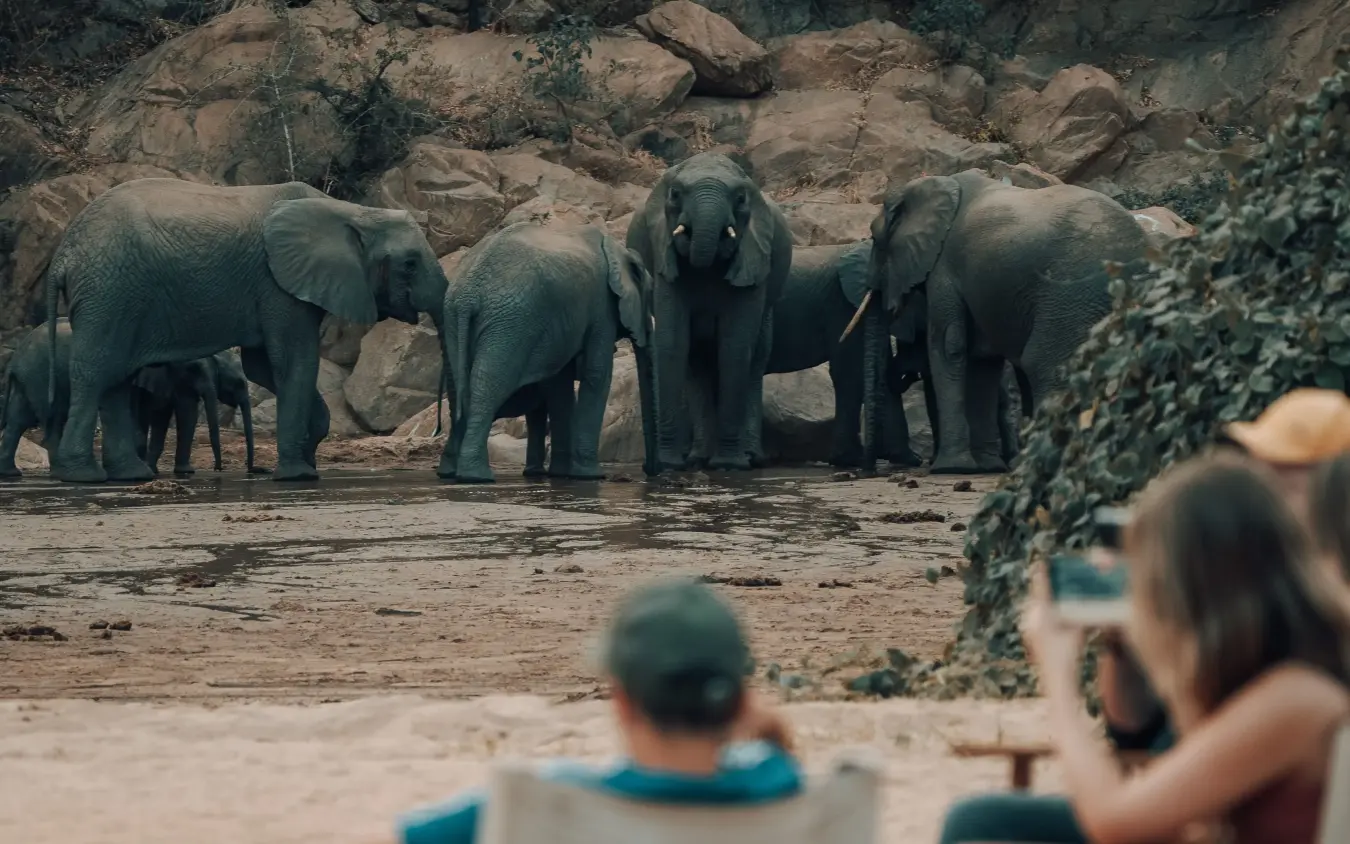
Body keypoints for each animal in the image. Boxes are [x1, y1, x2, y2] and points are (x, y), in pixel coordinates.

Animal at [438, 221, 655, 483]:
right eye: (651, 294)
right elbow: (596, 374)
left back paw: (457, 473)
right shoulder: (601, 308)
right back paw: (477, 477)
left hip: (454, 320)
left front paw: (561, 474)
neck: (619, 251)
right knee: (488, 386)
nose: (648, 469)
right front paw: (591, 476)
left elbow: (560, 385)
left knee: (464, 389)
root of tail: (468, 295)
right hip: (511, 324)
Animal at [626, 151, 793, 473]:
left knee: (756, 359)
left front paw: (729, 466)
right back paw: (697, 459)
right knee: (696, 364)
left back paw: (749, 458)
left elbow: (735, 347)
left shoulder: (754, 260)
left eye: (740, 199)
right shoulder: (663, 256)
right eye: (675, 194)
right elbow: (673, 343)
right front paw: (669, 465)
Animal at [854, 170, 1148, 474]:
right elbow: (981, 361)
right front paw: (988, 466)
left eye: (875, 238)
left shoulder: (943, 268)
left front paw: (952, 468)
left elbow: (949, 347)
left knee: (1045, 364)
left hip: (1071, 295)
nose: (867, 470)